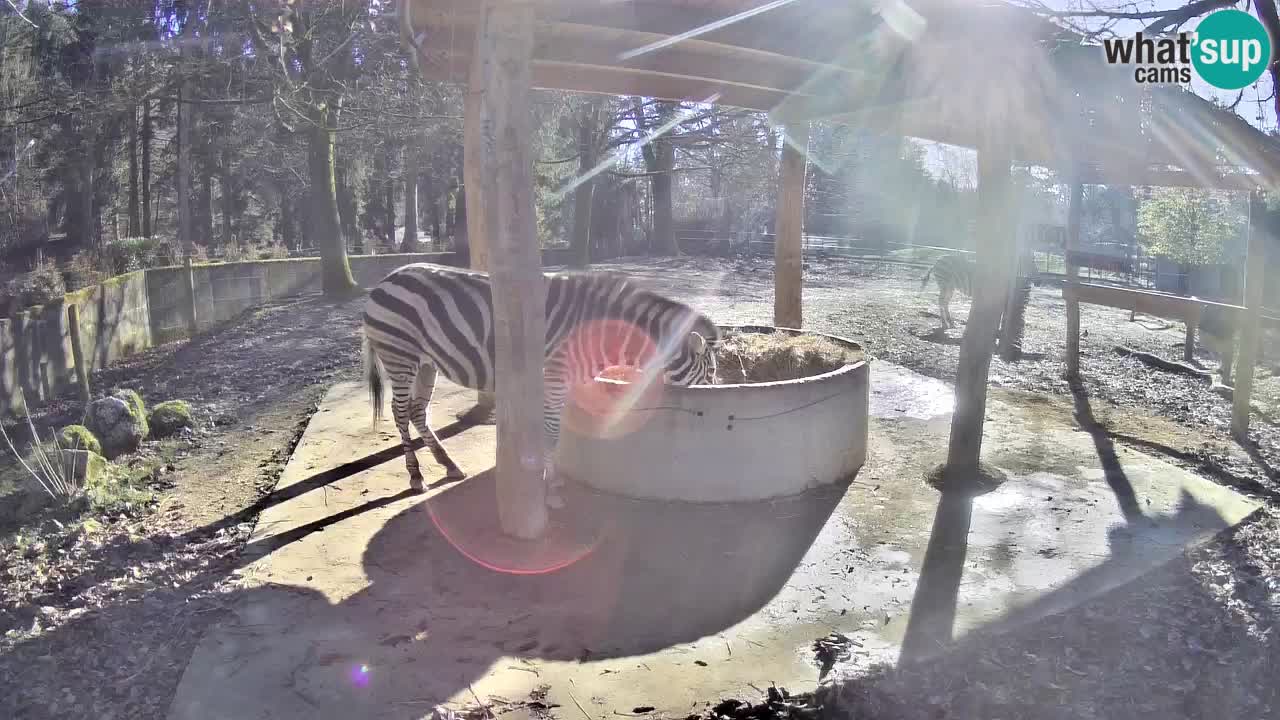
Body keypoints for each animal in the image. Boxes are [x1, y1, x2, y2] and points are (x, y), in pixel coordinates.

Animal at [363, 260, 721, 502]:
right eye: (711, 373)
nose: (714, 398)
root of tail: (385, 280)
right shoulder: (553, 378)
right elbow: (551, 434)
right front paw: (550, 489)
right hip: (400, 355)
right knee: (400, 413)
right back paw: (416, 477)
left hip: (426, 363)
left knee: (417, 412)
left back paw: (448, 464)